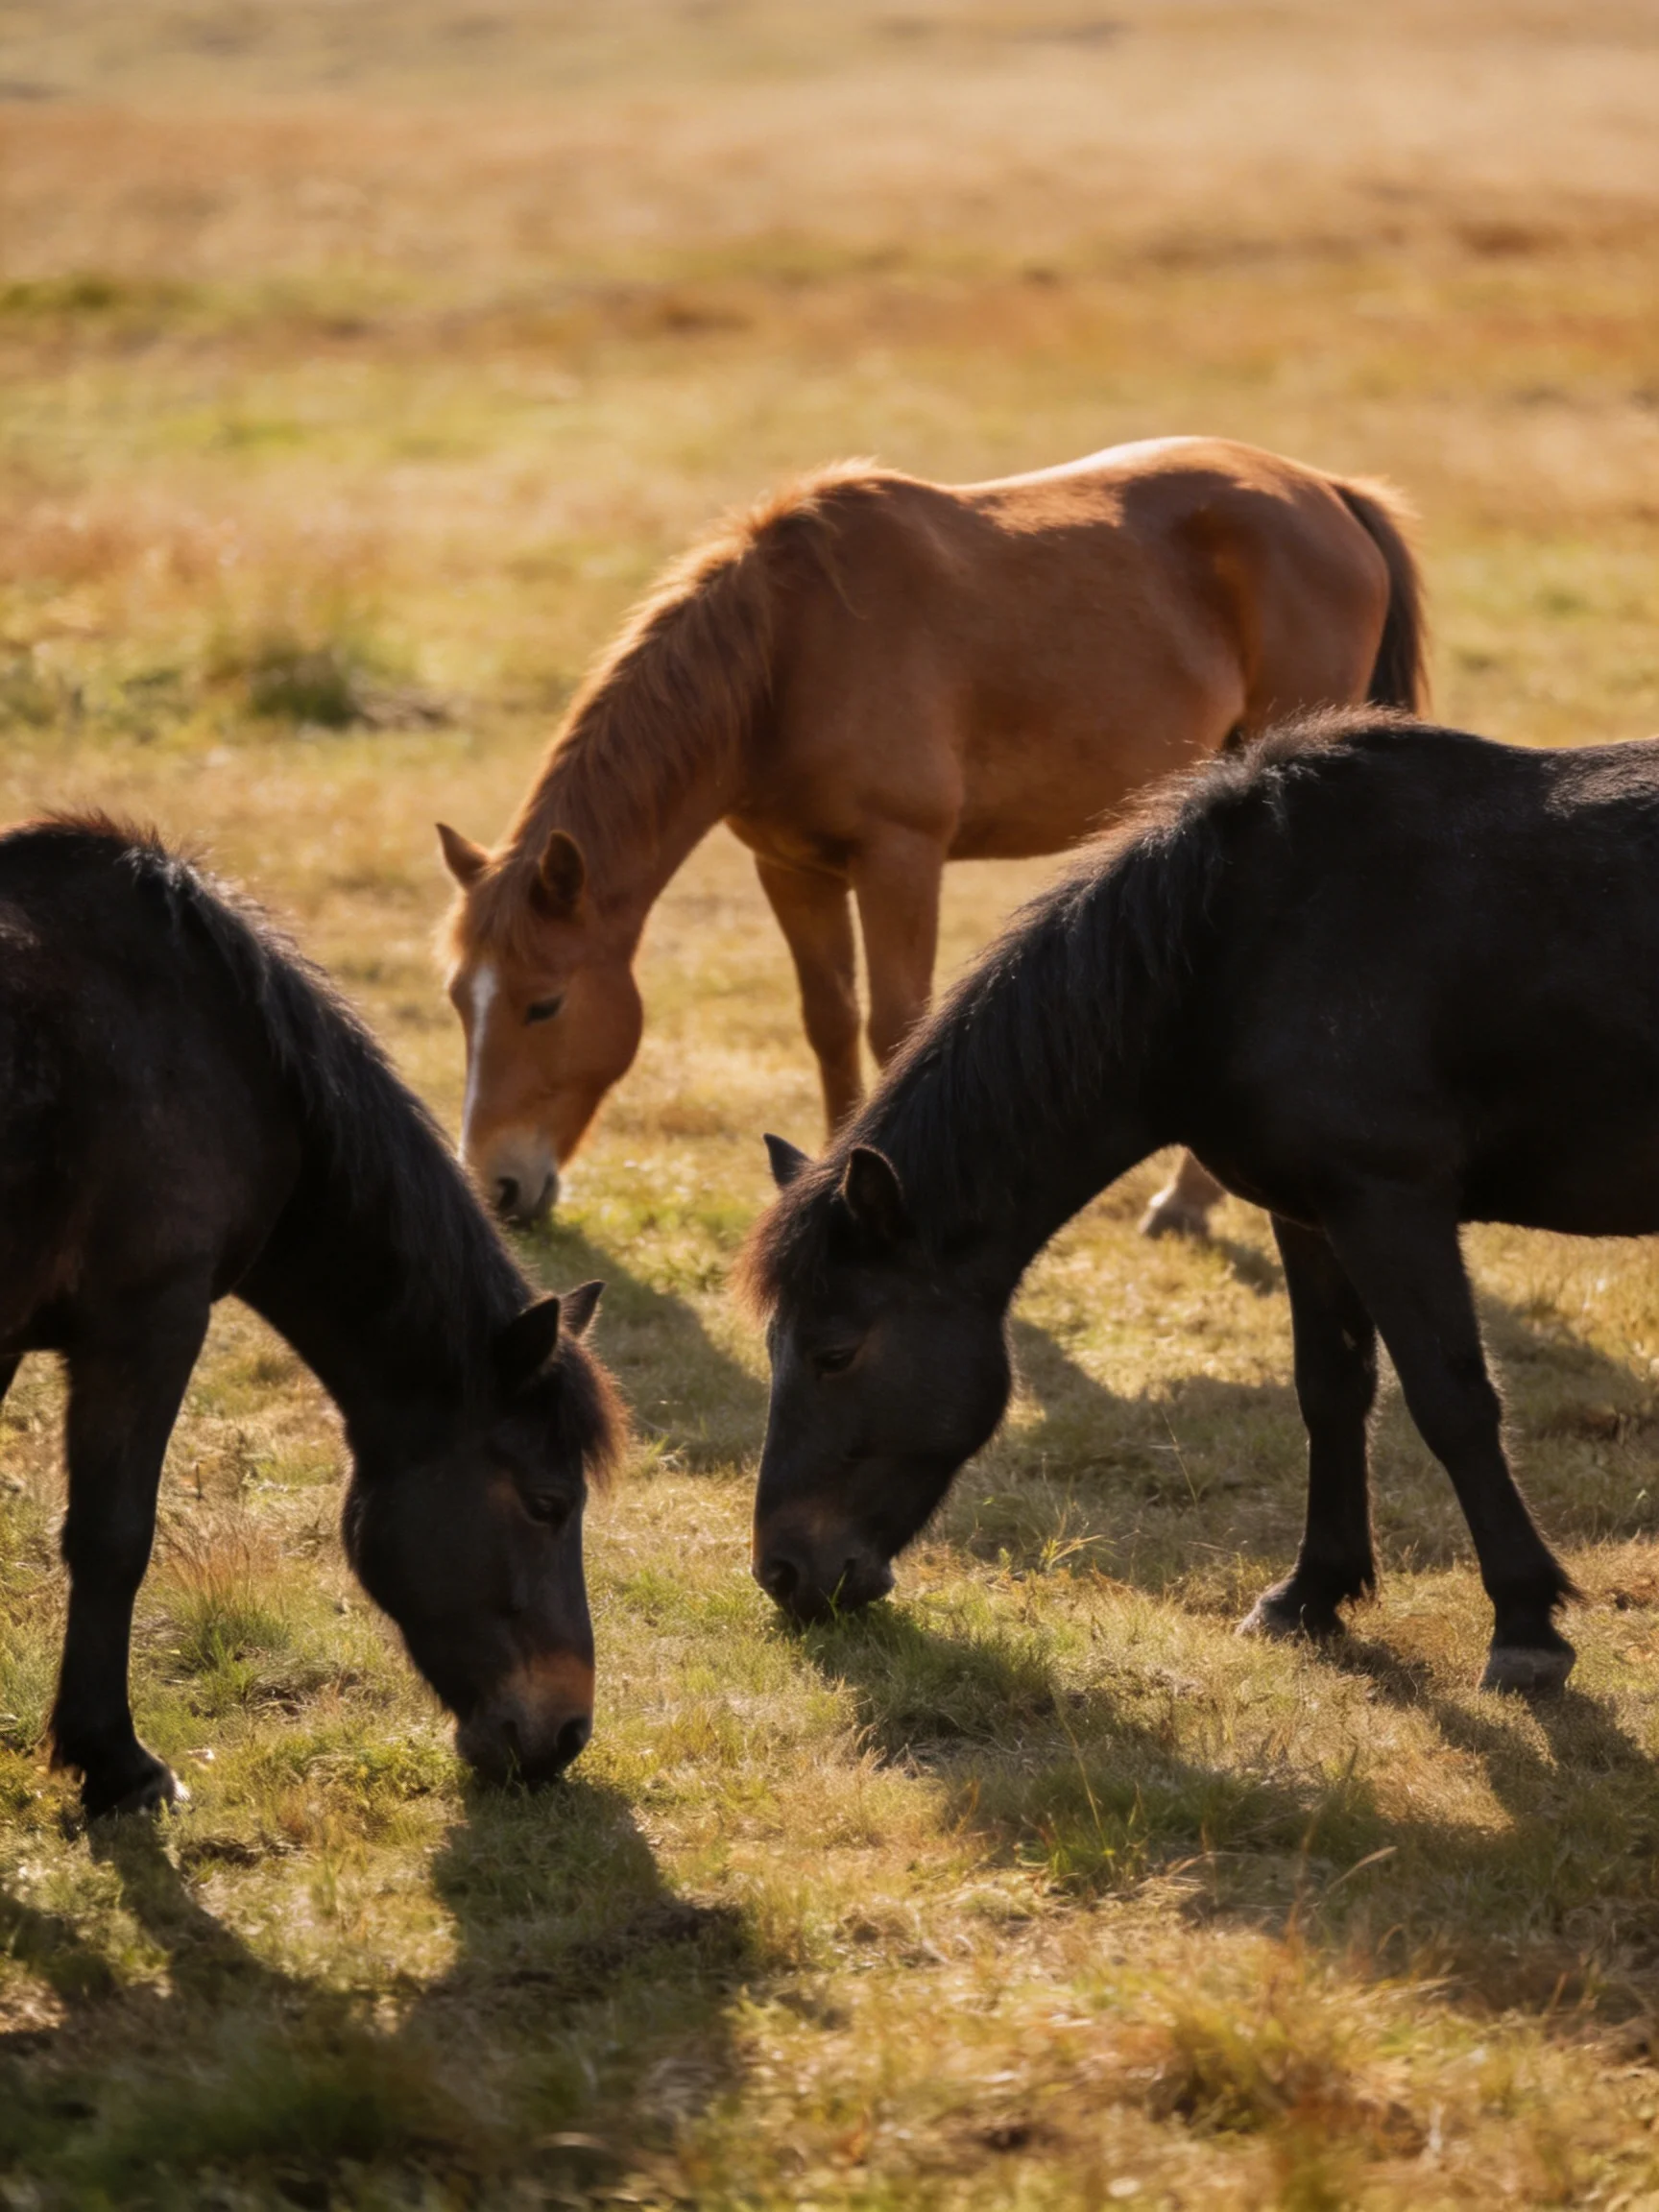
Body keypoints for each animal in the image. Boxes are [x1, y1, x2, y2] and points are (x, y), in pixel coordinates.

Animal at [435, 436, 1425, 1234]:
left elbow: (894, 1024)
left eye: (544, 1004)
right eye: (457, 1001)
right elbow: (830, 1021)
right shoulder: (790, 868)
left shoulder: (900, 858)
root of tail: (1331, 494)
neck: (789, 653)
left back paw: (1187, 1201)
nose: (496, 1188)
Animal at [739, 709, 1659, 1697]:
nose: (783, 1571)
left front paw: (1525, 1625)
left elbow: (1452, 1403)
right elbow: (1331, 1389)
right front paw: (1310, 1594)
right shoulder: (1312, 1214)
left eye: (834, 1353)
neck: (1243, 947)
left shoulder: (1391, 1206)